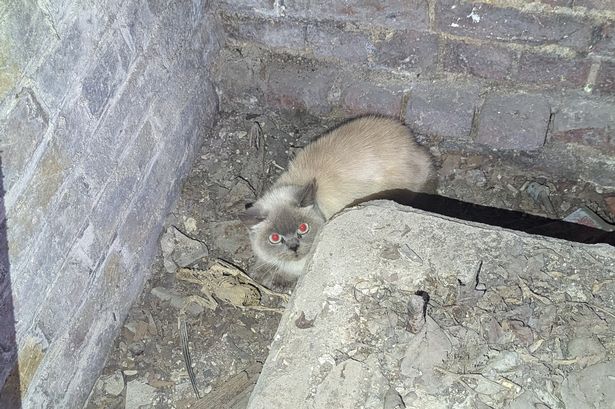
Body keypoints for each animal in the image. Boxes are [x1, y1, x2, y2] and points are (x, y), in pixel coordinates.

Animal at [238, 116, 436, 288]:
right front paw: (258, 271)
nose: (294, 247)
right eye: (274, 238)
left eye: (303, 228)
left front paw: (276, 279)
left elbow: (289, 272)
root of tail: (414, 145)